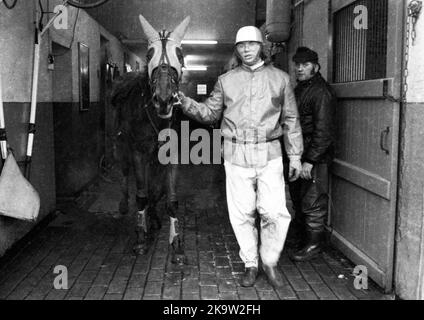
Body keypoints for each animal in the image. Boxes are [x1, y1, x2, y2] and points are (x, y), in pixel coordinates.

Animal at [109, 13, 190, 264]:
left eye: (180, 54)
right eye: (148, 55)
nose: (164, 99)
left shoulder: (171, 155)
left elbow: (168, 198)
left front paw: (177, 245)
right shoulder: (139, 153)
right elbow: (142, 195)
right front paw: (140, 238)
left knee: (155, 187)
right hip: (122, 150)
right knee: (126, 176)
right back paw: (125, 207)